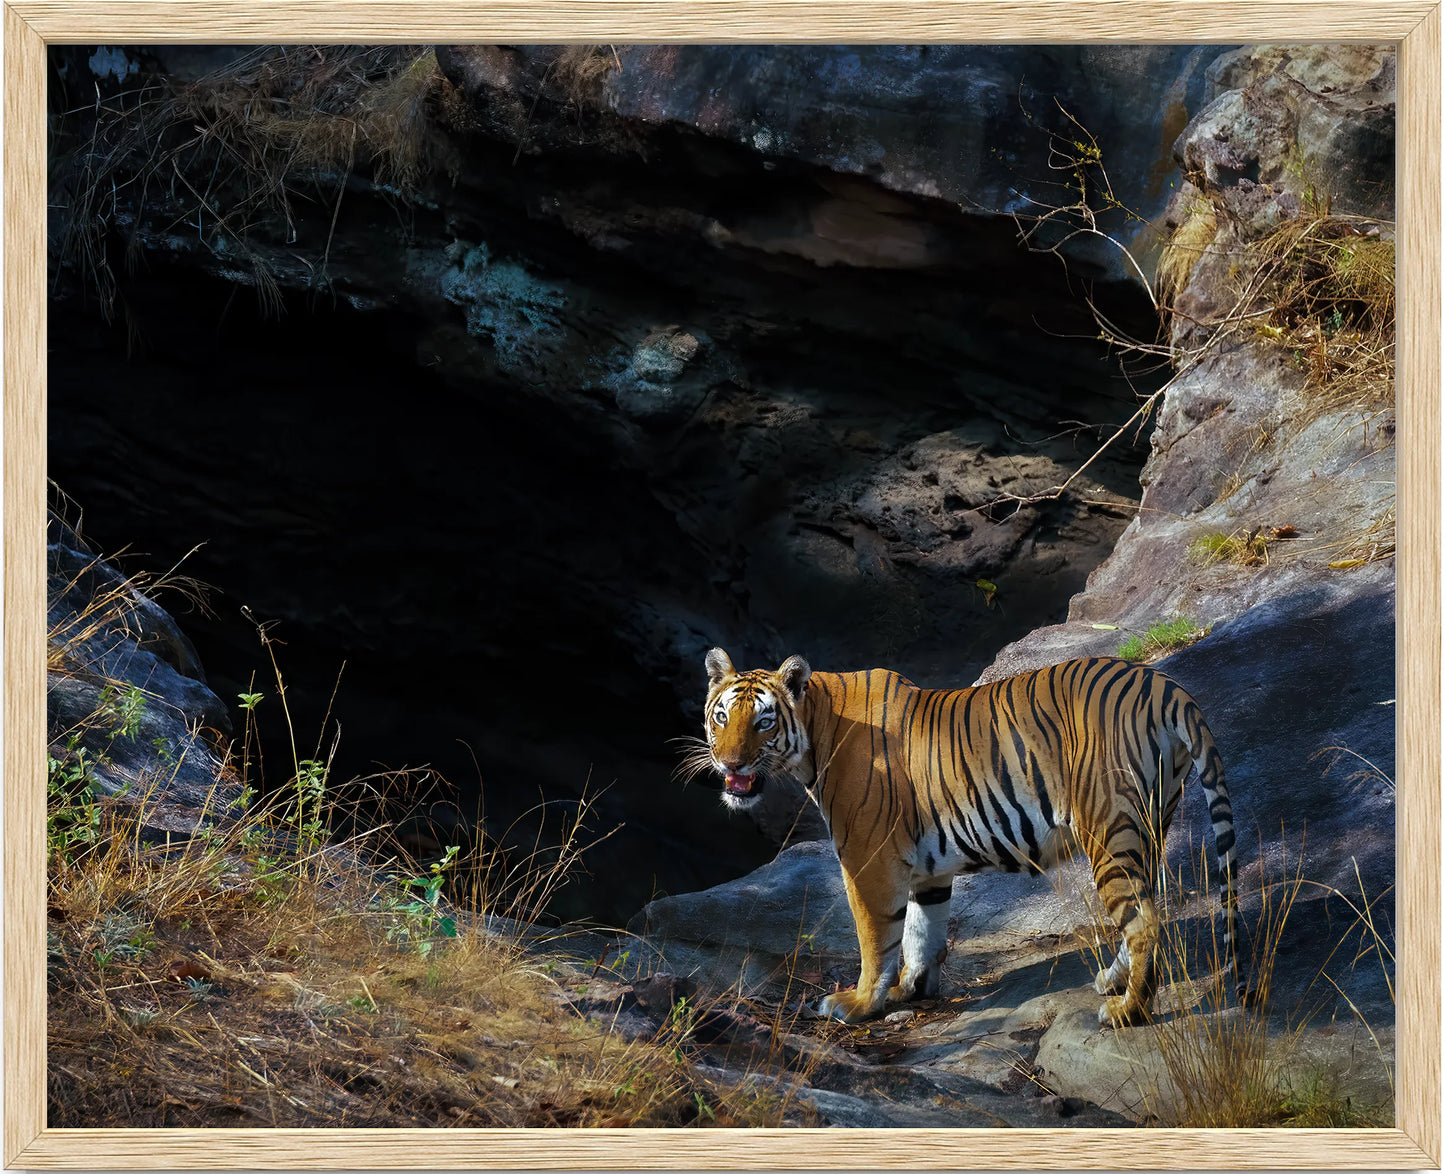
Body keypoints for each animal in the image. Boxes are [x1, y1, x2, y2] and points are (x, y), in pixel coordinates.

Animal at [685, 648, 1242, 1027]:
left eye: (763, 722)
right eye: (721, 717)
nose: (730, 764)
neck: (818, 727)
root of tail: (1163, 684)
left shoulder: (867, 859)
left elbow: (875, 937)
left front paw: (857, 1003)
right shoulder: (923, 869)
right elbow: (920, 931)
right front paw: (910, 989)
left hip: (1108, 827)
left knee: (1144, 920)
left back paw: (1128, 1011)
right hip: (1148, 825)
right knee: (1148, 906)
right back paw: (1113, 981)